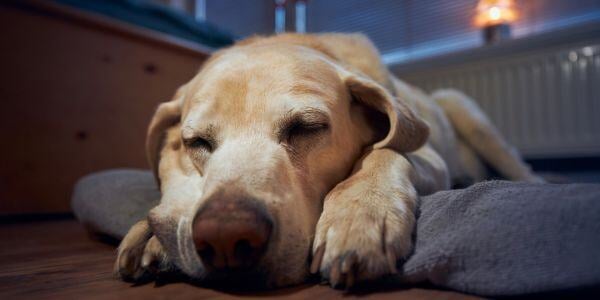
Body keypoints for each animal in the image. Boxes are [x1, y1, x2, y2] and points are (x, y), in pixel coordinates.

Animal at [115, 32, 540, 288]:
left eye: (306, 128)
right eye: (197, 142)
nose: (225, 239)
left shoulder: (428, 154)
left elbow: (384, 149)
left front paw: (360, 214)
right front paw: (151, 234)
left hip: (467, 112)